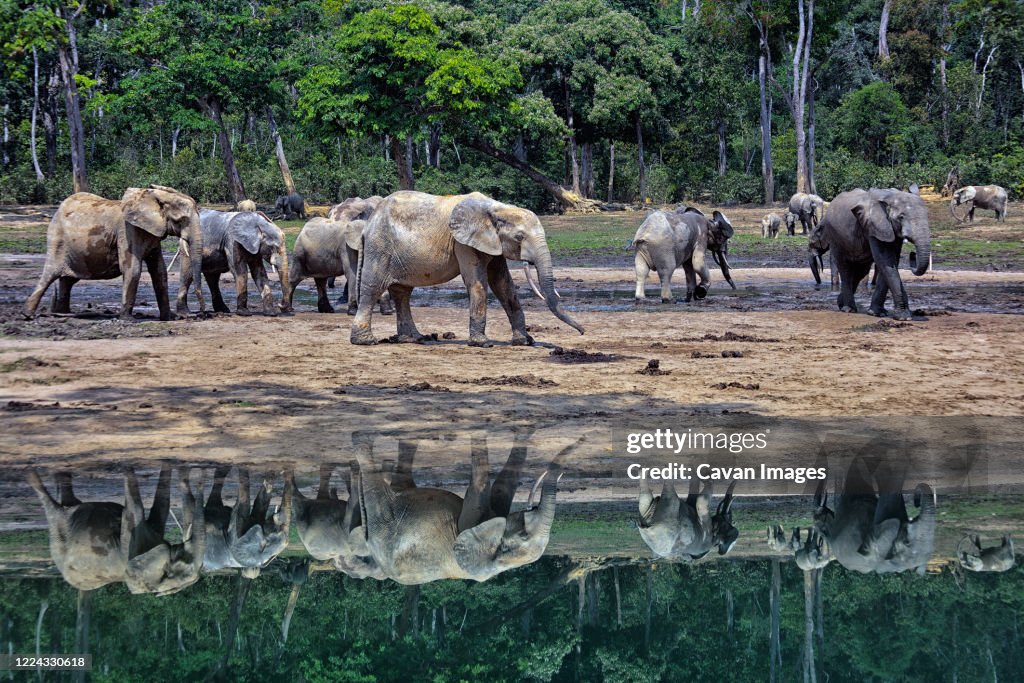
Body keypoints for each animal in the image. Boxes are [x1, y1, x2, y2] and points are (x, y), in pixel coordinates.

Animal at [24, 185, 205, 321]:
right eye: (182, 220)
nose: (201, 314)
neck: (152, 197)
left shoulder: (152, 235)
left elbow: (159, 271)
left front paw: (170, 318)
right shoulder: (127, 231)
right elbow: (133, 269)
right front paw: (128, 319)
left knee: (68, 280)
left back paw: (62, 313)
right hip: (57, 239)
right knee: (50, 274)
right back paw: (28, 315)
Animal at [350, 430, 583, 584]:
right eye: (525, 533)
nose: (581, 439)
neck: (498, 560)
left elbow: (481, 492)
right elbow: (501, 487)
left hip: (387, 526)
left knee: (379, 494)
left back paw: (361, 442)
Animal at [351, 191, 585, 347]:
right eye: (519, 237)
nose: (583, 332)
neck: (498, 207)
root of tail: (368, 224)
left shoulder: (492, 243)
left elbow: (503, 284)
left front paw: (524, 341)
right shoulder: (462, 242)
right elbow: (478, 282)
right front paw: (483, 343)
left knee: (402, 293)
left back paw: (414, 339)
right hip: (379, 247)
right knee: (373, 287)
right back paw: (366, 341)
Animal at [819, 187, 930, 319]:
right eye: (901, 217)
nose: (912, 254)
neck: (891, 196)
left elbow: (892, 262)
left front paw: (878, 313)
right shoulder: (873, 226)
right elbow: (885, 260)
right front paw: (903, 317)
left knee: (860, 271)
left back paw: (840, 303)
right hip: (835, 238)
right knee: (845, 268)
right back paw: (848, 309)